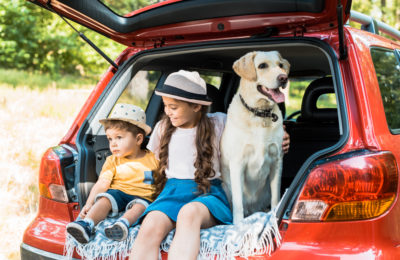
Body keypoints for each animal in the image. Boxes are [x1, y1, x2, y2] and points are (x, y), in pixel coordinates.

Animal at [220, 50, 290, 223]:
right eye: (262, 66)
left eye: (280, 65)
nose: (283, 78)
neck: (260, 114)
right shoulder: (237, 162)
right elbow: (238, 203)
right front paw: (238, 224)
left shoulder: (277, 160)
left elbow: (276, 197)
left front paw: (272, 215)